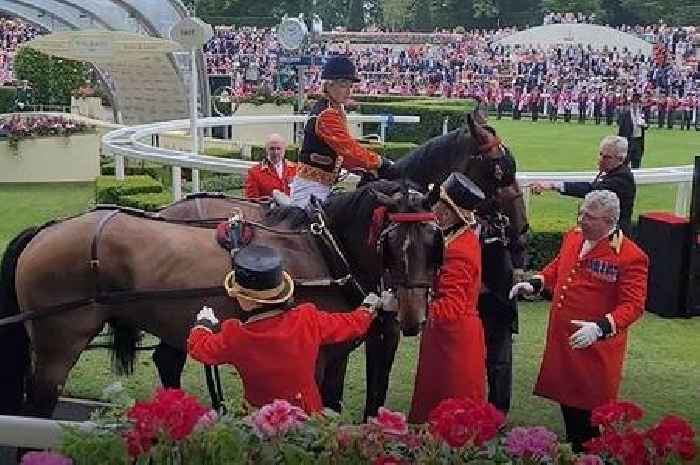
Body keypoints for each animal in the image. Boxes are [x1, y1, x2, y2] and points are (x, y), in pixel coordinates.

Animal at [0, 179, 440, 418]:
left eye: (433, 241)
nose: (412, 316)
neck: (324, 251)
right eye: (391, 243)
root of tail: (45, 230)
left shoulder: (334, 354)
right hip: (59, 344)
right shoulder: (311, 357)